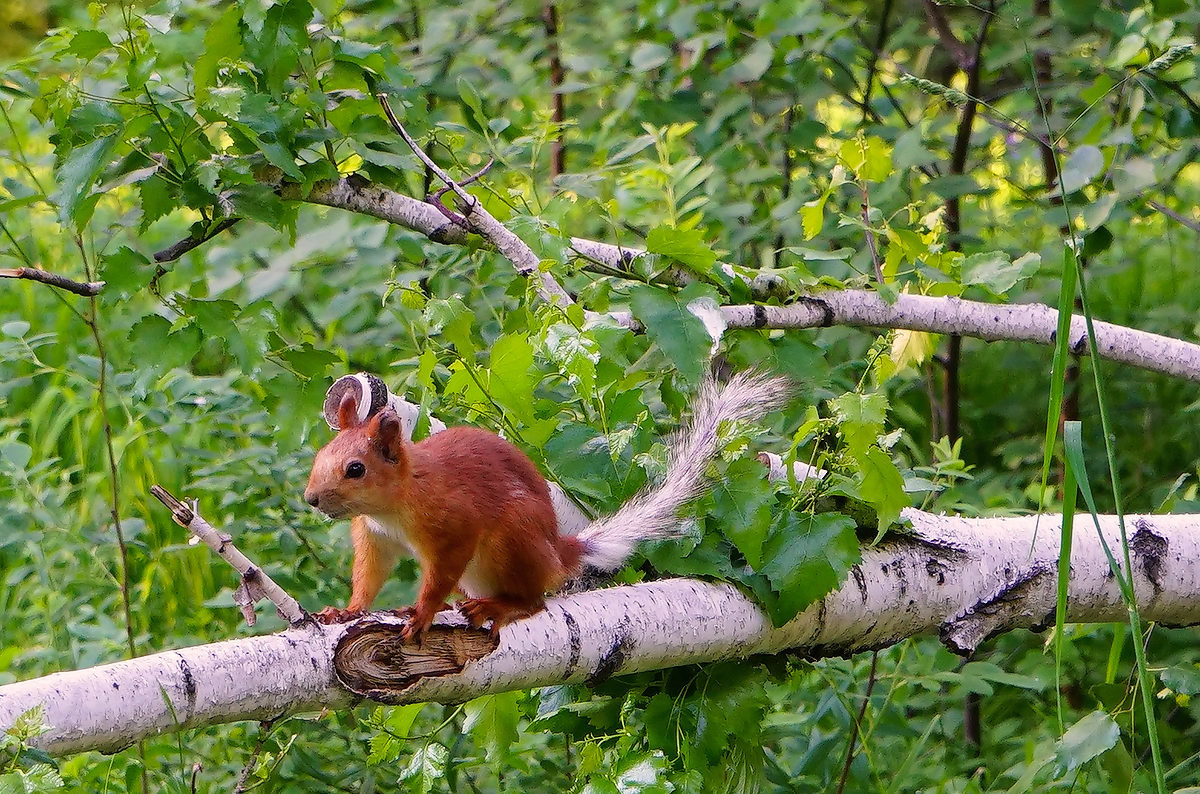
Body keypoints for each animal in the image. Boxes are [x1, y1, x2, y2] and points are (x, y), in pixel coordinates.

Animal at [302, 369, 787, 642]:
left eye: (356, 469)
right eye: (319, 457)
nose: (311, 498)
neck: (395, 504)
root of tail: (557, 551)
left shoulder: (454, 523)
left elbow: (441, 572)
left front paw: (422, 612)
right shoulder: (376, 537)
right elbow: (370, 575)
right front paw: (348, 610)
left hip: (513, 539)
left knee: (535, 600)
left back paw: (500, 607)